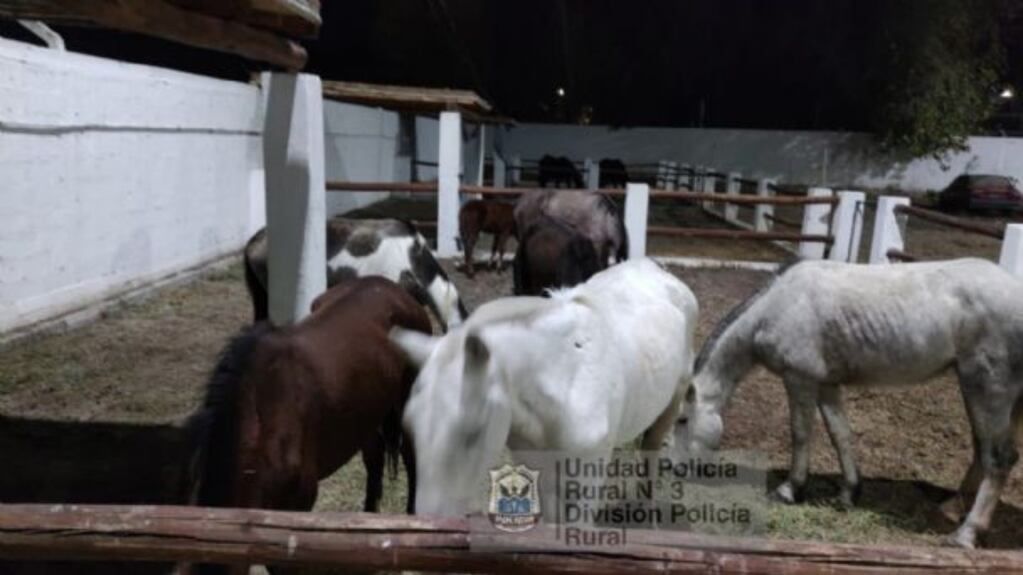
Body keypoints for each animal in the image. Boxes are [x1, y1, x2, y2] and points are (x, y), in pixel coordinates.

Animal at [390, 259, 698, 516]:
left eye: (472, 434)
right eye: (409, 426)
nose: (430, 523)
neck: (566, 382)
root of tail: (658, 271)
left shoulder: (587, 481)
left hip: (673, 401)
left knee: (652, 447)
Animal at [679, 258, 1023, 549]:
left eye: (682, 420)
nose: (676, 467)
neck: (775, 308)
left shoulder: (799, 379)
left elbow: (800, 434)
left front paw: (790, 489)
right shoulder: (827, 385)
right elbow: (839, 434)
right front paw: (849, 493)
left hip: (988, 389)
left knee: (999, 459)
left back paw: (965, 534)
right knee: (983, 451)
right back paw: (952, 508)